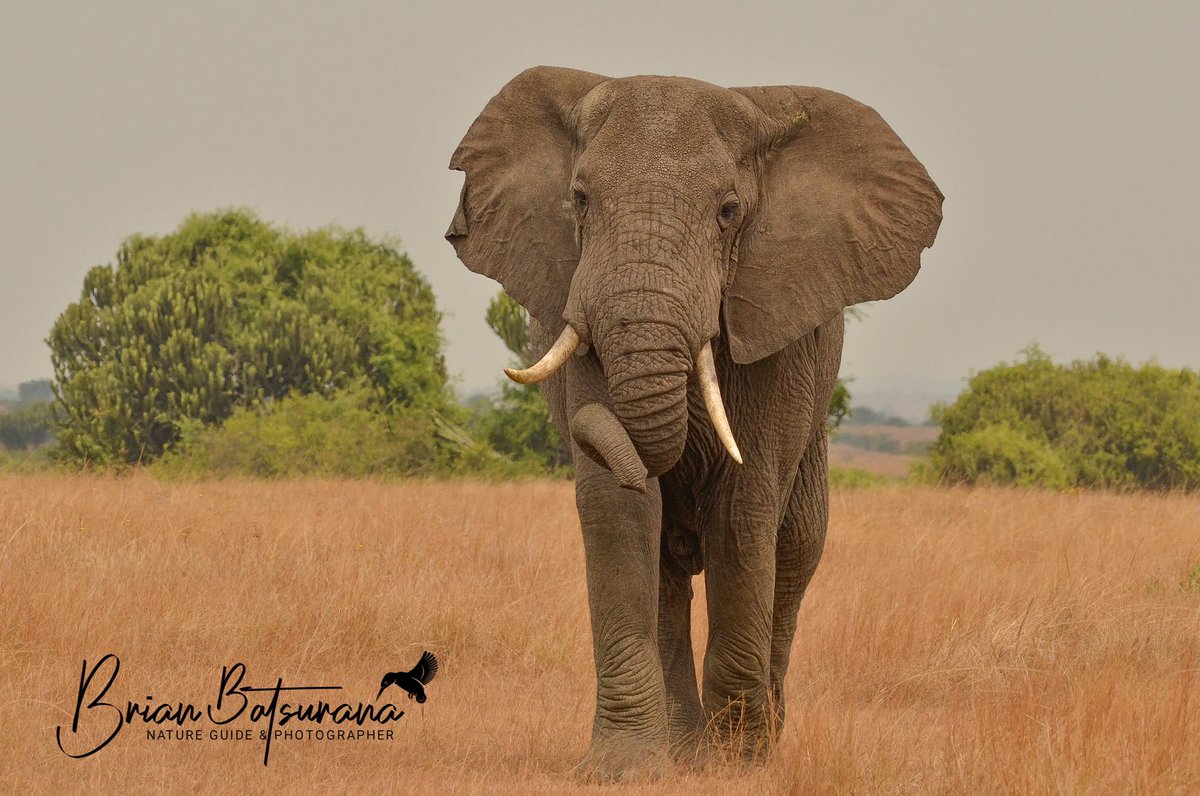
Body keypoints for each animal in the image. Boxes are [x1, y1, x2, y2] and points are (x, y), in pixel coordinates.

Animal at [445, 66, 942, 779]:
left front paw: (736, 765)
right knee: (667, 574)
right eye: (580, 200)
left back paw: (762, 737)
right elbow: (617, 511)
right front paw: (626, 769)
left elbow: (743, 508)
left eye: (729, 212)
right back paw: (681, 748)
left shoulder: (773, 324)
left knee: (794, 552)